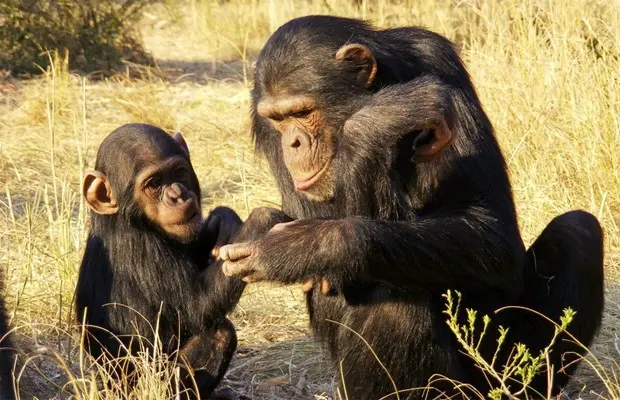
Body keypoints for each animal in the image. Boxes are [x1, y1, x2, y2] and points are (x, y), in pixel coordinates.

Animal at [74, 123, 272, 398]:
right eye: (154, 183)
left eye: (178, 172)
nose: (178, 195)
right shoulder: (142, 247)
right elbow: (196, 303)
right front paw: (263, 219)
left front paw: (224, 220)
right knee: (219, 334)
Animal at [219, 16, 604, 400]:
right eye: (277, 120)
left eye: (303, 112)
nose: (292, 142)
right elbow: (334, 276)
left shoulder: (442, 64)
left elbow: (493, 231)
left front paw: (302, 244)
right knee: (392, 309)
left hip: (495, 369)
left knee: (577, 231)